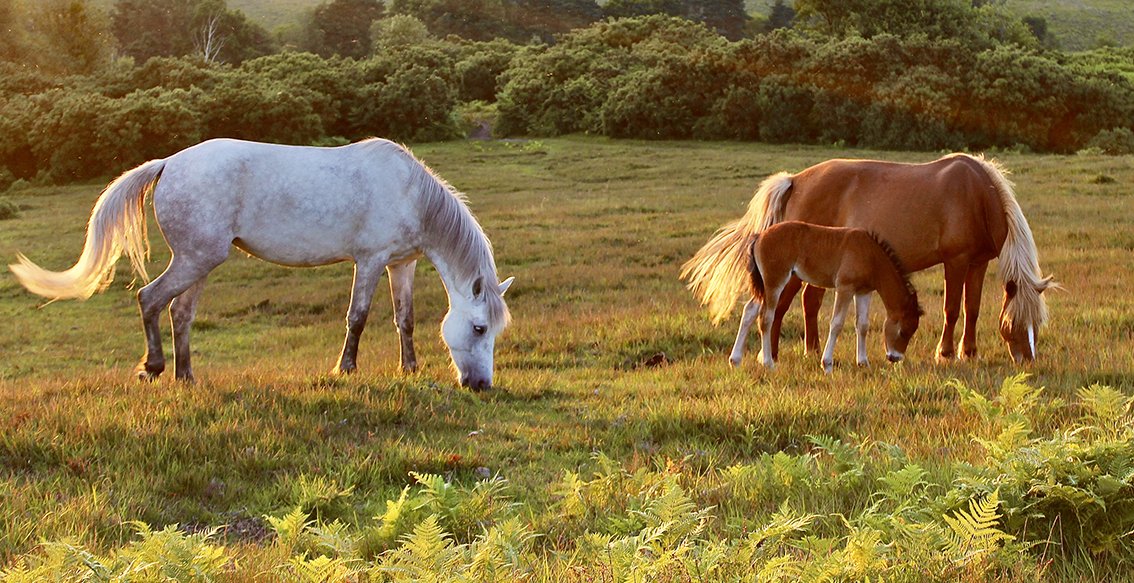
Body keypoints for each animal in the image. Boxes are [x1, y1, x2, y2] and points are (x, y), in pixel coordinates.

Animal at [9, 138, 515, 390]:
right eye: (479, 328)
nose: (481, 385)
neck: (408, 191)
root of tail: (168, 162)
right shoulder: (369, 261)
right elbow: (358, 317)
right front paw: (345, 370)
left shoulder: (400, 264)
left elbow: (403, 319)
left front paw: (408, 370)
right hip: (195, 260)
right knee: (149, 299)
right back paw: (153, 368)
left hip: (200, 261)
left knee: (180, 313)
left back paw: (186, 376)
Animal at [744, 221, 922, 372]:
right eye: (903, 331)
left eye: (912, 332)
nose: (895, 358)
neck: (870, 254)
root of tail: (759, 236)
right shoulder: (845, 288)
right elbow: (836, 324)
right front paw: (827, 364)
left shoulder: (864, 292)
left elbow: (863, 325)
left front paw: (863, 363)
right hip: (774, 282)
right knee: (766, 317)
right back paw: (768, 363)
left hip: (765, 286)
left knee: (750, 309)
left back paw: (738, 360)